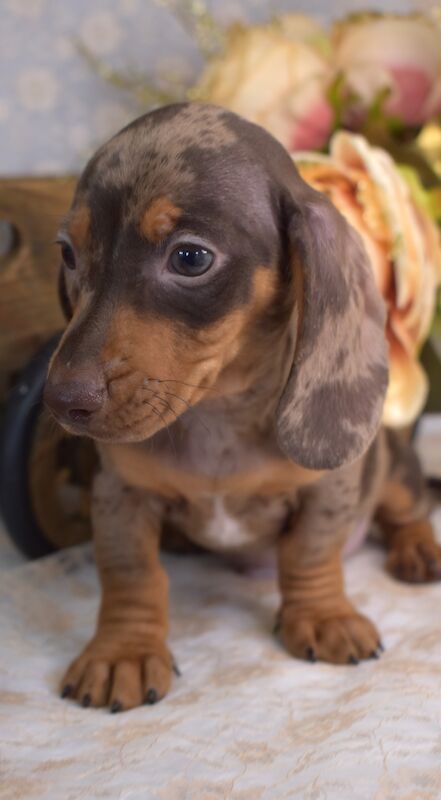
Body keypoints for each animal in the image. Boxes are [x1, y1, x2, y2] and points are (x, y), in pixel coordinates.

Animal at [44, 103, 440, 708]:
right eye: (67, 252)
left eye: (190, 257)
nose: (62, 401)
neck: (216, 413)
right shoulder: (120, 493)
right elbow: (130, 572)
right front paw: (123, 652)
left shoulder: (328, 487)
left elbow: (310, 552)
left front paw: (322, 616)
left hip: (392, 468)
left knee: (408, 509)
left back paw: (420, 549)